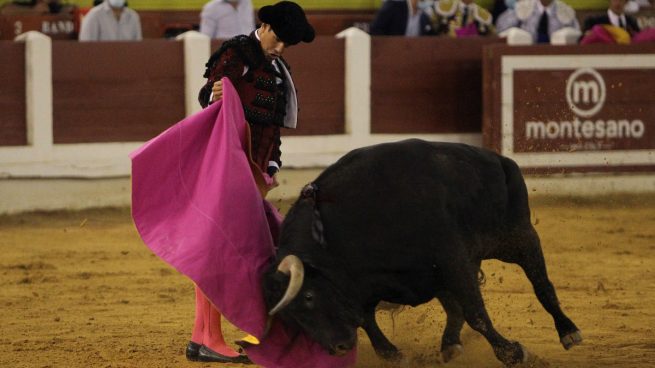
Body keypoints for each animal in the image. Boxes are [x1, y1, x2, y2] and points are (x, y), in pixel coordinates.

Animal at [262, 139, 580, 366]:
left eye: (309, 296)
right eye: (290, 316)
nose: (338, 348)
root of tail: (499, 159)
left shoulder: (453, 259)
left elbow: (476, 312)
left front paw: (512, 353)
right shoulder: (370, 282)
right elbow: (366, 318)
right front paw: (392, 353)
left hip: (519, 238)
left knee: (543, 286)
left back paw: (568, 332)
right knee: (454, 308)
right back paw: (450, 345)